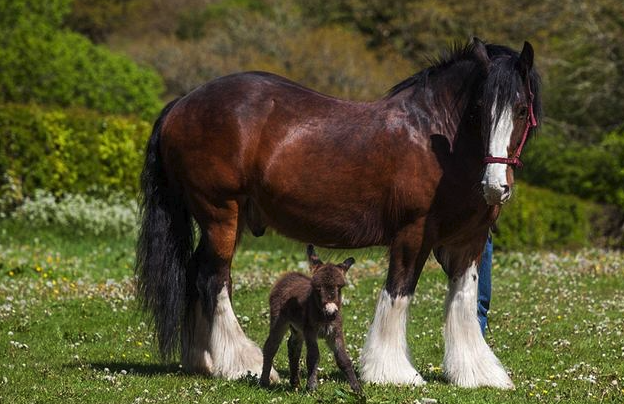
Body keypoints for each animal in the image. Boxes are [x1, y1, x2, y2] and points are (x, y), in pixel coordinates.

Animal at [260, 245, 364, 392]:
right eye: (318, 288)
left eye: (339, 287)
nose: (331, 312)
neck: (324, 317)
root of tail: (288, 275)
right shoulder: (310, 332)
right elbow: (313, 357)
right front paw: (312, 387)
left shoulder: (335, 332)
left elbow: (344, 359)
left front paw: (357, 389)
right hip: (279, 321)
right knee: (271, 346)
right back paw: (264, 382)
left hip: (298, 328)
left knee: (293, 346)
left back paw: (295, 383)